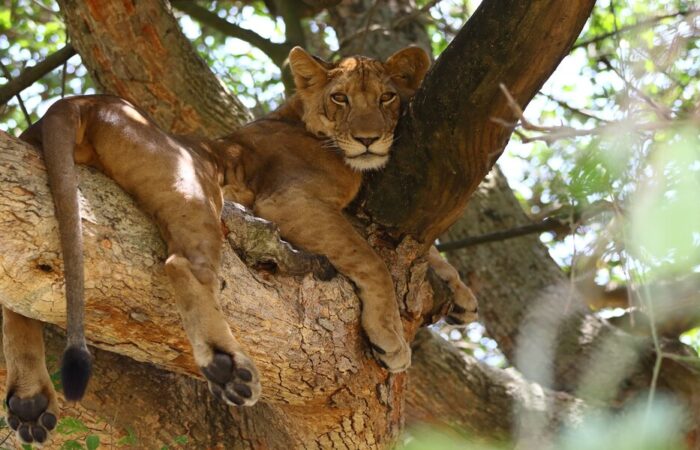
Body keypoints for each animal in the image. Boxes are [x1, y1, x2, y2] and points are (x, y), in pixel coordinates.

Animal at [3, 46, 477, 445]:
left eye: (387, 97)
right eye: (340, 98)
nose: (367, 139)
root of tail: (78, 101)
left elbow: (430, 251)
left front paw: (462, 296)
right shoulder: (287, 201)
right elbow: (371, 257)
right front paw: (390, 339)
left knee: (20, 297)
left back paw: (29, 404)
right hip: (197, 184)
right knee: (182, 265)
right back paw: (227, 367)